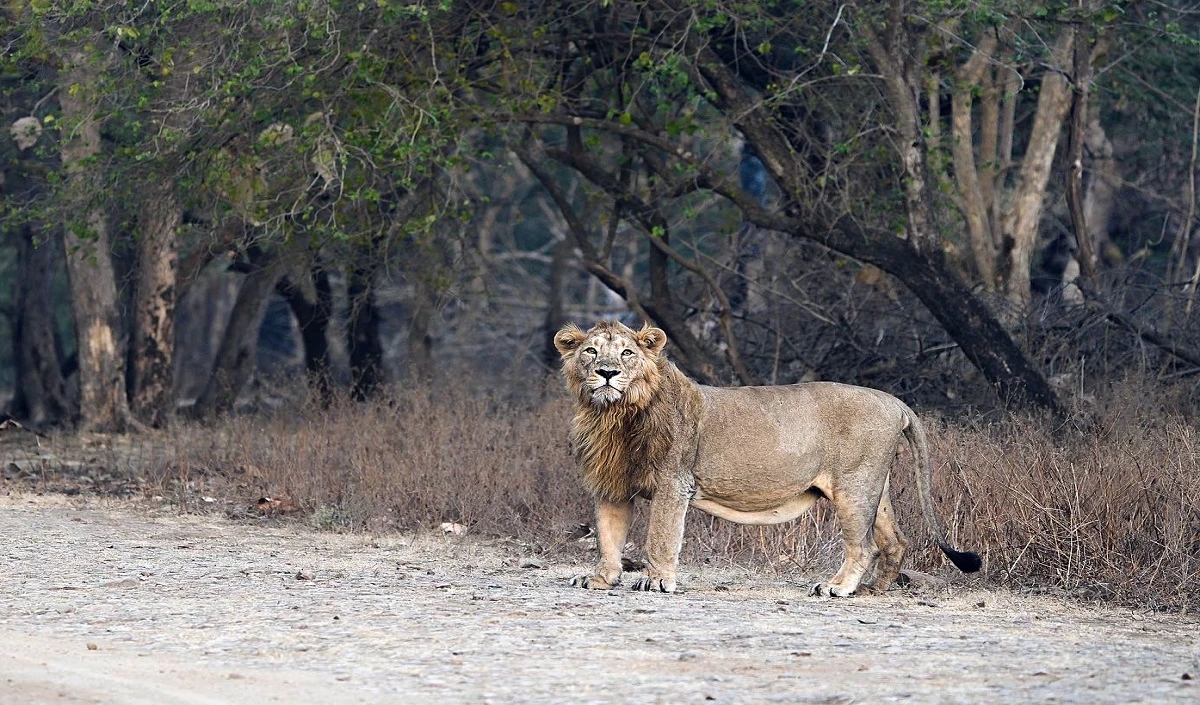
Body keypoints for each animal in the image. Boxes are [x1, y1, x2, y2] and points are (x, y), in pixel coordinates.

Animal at [554, 318, 984, 594]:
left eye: (627, 353)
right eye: (591, 351)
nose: (607, 372)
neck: (615, 415)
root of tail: (894, 400)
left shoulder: (674, 483)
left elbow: (660, 536)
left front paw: (656, 580)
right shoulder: (612, 485)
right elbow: (608, 536)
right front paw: (600, 579)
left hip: (854, 488)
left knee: (864, 546)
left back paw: (838, 587)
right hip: (874, 488)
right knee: (895, 540)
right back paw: (875, 589)